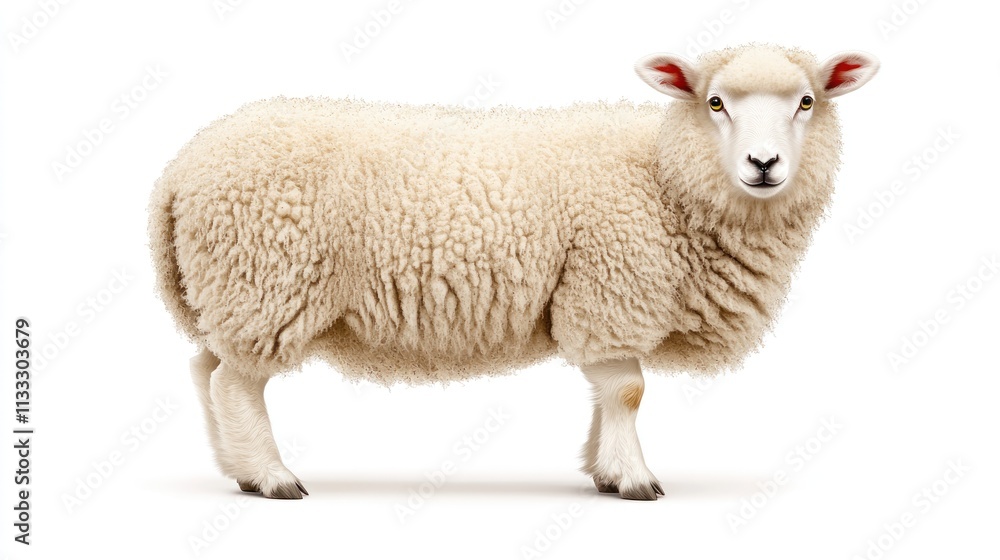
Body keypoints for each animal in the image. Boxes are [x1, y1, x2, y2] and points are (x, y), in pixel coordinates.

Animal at [148, 44, 878, 500]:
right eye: (716, 102)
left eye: (807, 101)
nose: (764, 164)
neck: (665, 175)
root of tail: (180, 170)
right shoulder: (609, 289)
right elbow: (629, 393)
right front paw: (634, 478)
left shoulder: (594, 305)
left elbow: (608, 393)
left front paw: (602, 469)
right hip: (265, 282)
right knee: (237, 384)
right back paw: (272, 477)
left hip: (233, 291)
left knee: (206, 370)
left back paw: (238, 469)